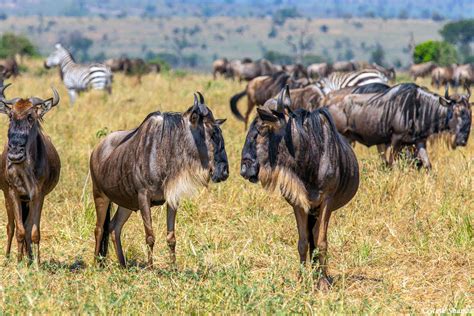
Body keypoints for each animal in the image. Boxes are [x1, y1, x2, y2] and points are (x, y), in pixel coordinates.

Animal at [90, 91, 230, 266]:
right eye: (211, 134)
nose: (224, 172)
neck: (165, 151)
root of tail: (97, 149)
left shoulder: (172, 198)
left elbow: (171, 237)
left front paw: (173, 267)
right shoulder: (143, 196)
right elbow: (150, 236)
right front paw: (150, 268)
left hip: (126, 203)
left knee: (114, 227)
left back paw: (123, 266)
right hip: (100, 195)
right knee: (99, 228)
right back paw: (96, 264)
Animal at [241, 85, 360, 290]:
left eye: (262, 129)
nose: (244, 169)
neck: (309, 159)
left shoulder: (327, 201)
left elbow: (321, 242)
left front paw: (323, 282)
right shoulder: (298, 203)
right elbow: (303, 241)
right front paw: (301, 279)